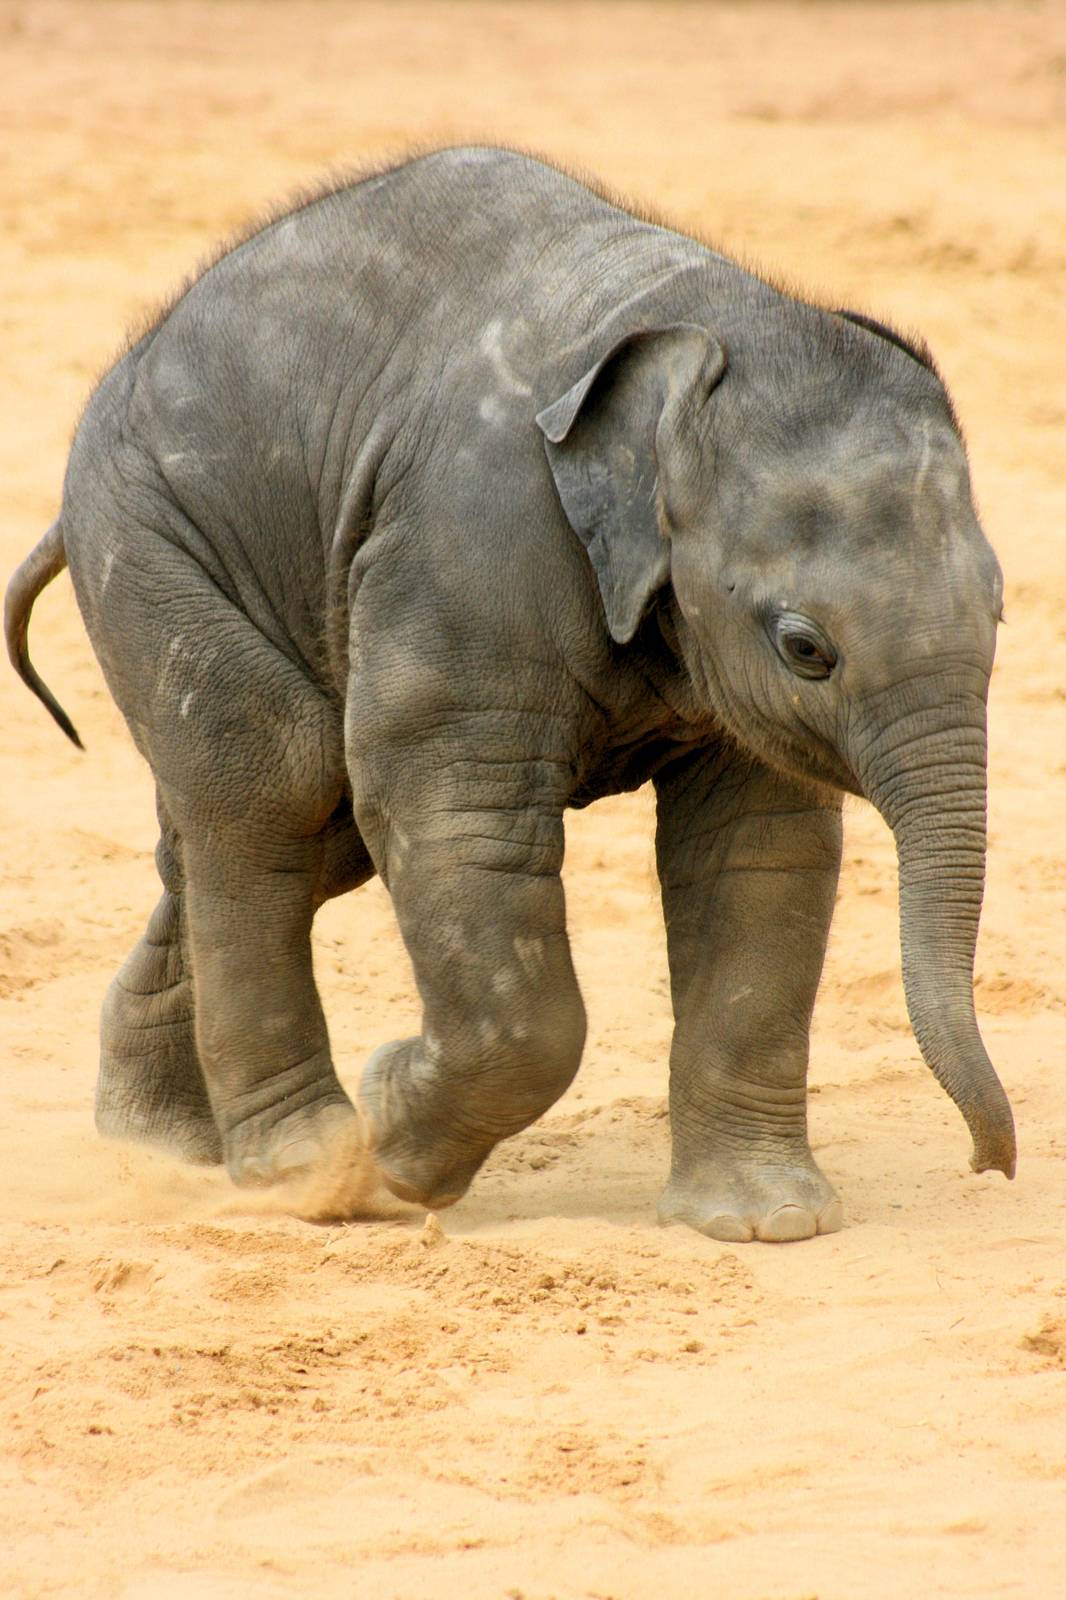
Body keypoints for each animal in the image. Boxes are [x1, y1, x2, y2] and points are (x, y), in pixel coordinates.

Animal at [5, 146, 1014, 1242]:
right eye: (805, 648)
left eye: (1002, 611)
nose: (990, 1167)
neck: (697, 333)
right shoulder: (471, 547)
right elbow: (456, 817)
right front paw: (394, 1145)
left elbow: (757, 850)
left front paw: (764, 1223)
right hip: (145, 542)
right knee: (281, 781)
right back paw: (309, 1172)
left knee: (281, 837)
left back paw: (163, 1145)